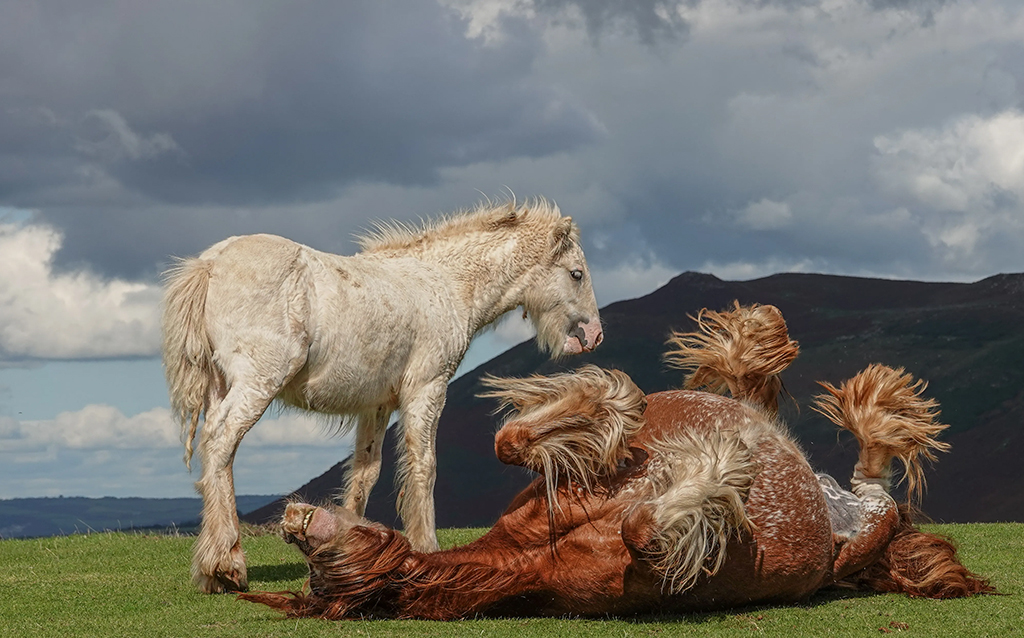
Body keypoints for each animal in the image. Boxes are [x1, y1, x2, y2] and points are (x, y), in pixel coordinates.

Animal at [161, 198, 604, 593]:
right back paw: (225, 565)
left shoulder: (374, 406)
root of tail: (211, 263)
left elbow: (364, 475)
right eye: (577, 274)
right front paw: (426, 548)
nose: (594, 336)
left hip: (222, 386)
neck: (444, 284)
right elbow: (424, 466)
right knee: (221, 443)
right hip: (258, 382)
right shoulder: (427, 389)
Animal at [240, 364, 990, 619]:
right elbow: (643, 527)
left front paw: (608, 402)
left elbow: (511, 438)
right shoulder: (652, 565)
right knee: (876, 476)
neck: (533, 560)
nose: (293, 519)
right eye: (319, 576)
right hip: (864, 524)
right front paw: (722, 468)